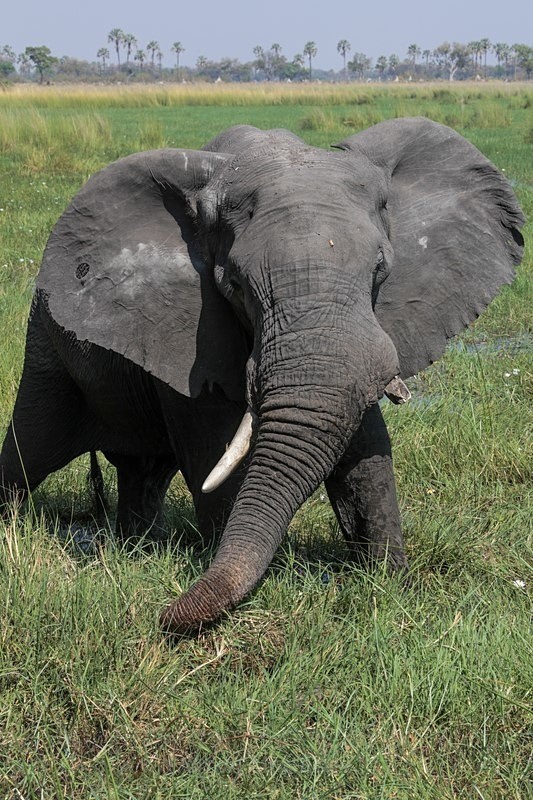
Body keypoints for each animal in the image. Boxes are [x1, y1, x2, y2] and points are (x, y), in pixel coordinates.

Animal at [0, 118, 524, 635]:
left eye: (381, 269)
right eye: (233, 285)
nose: (161, 616)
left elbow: (365, 453)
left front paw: (389, 584)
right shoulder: (192, 333)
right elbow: (214, 458)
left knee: (141, 471)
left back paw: (136, 547)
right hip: (46, 344)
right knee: (31, 448)